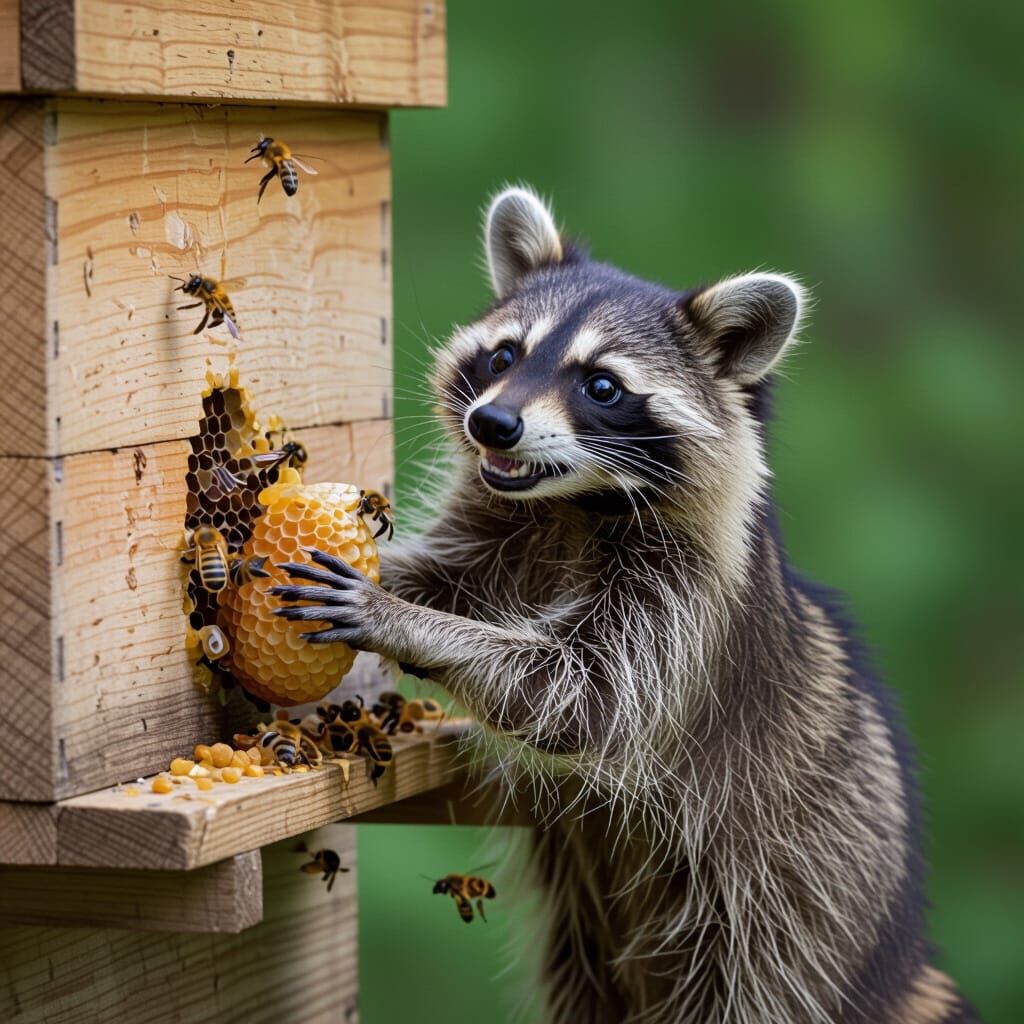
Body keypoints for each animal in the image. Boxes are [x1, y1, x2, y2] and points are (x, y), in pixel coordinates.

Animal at [274, 187, 978, 1023]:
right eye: (504, 357)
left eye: (602, 385)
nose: (491, 423)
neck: (570, 504)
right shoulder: (502, 532)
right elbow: (450, 576)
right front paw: (385, 583)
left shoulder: (689, 602)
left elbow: (585, 693)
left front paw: (404, 622)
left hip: (797, 907)